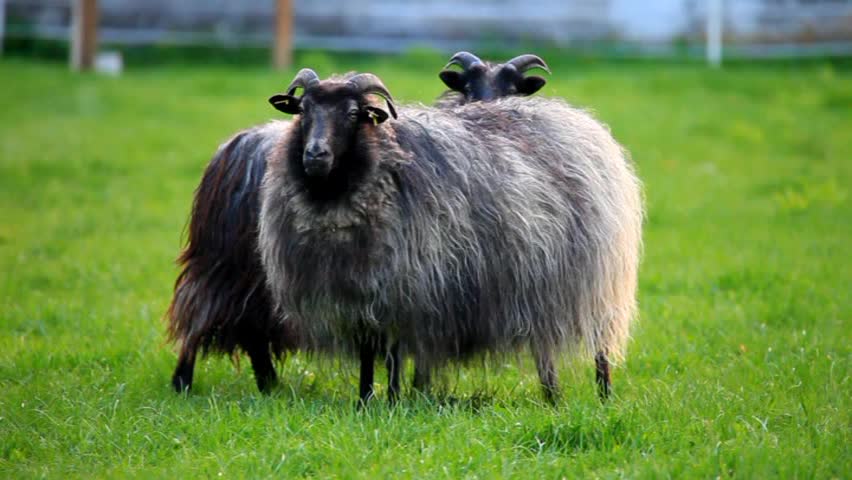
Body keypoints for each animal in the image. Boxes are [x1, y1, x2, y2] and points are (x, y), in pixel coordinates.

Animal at [166, 53, 552, 394]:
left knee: (251, 330)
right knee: (199, 315)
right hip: (223, 265)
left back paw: (269, 386)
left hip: (248, 274)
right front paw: (413, 391)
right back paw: (183, 382)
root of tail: (235, 146)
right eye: (469, 87)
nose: (490, 116)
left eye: (515, 90)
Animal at [258, 69, 643, 403]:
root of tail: (578, 120)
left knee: (599, 347)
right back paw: (552, 397)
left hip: (595, 282)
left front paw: (393, 402)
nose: (315, 155)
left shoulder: (404, 291)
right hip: (539, 284)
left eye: (353, 114)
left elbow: (394, 355)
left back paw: (603, 396)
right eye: (303, 110)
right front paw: (365, 401)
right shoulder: (359, 295)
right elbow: (369, 355)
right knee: (544, 349)